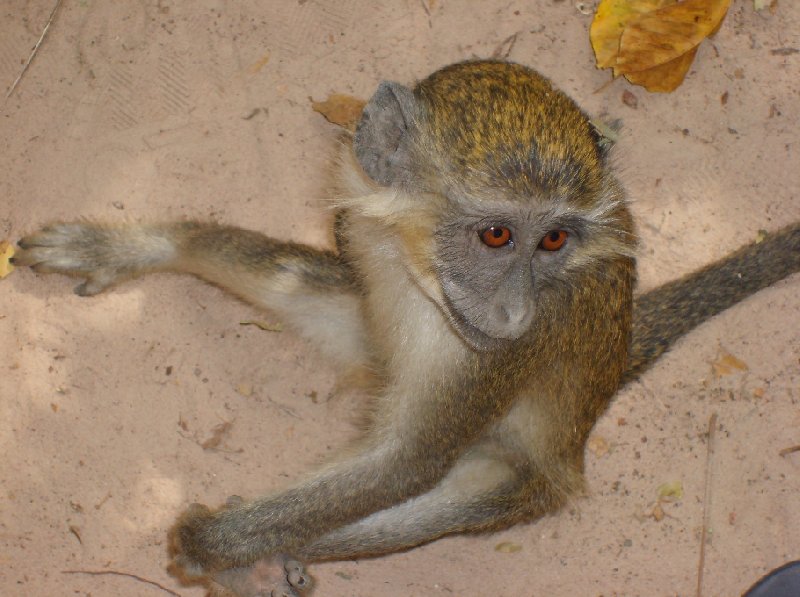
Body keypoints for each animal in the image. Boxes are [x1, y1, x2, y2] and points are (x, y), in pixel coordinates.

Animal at [12, 61, 800, 596]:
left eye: (553, 241)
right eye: (495, 234)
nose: (515, 315)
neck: (417, 270)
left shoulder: (497, 356)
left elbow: (406, 463)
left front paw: (209, 544)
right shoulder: (360, 231)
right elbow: (293, 276)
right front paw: (137, 247)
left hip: (526, 480)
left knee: (429, 498)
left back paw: (256, 567)